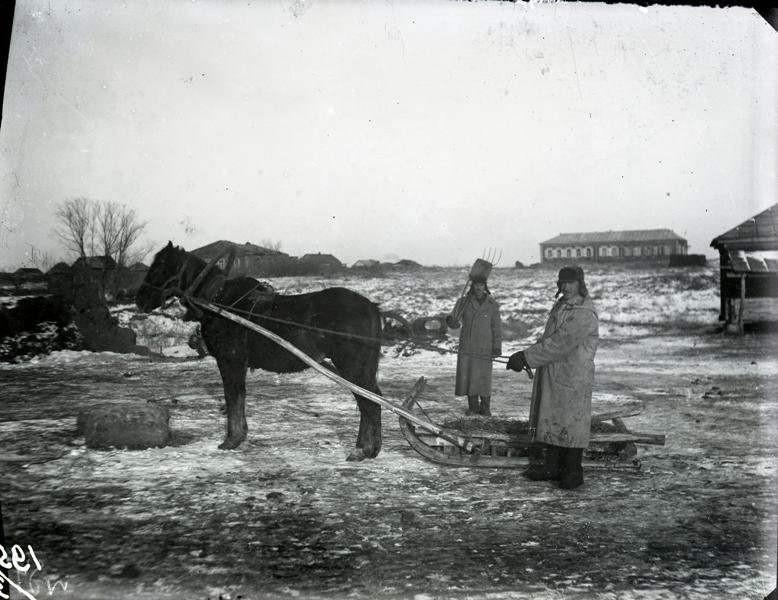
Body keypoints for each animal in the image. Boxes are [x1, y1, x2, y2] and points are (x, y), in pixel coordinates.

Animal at [139, 241, 384, 462]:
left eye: (158, 267)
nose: (139, 298)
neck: (218, 302)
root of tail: (372, 307)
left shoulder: (230, 360)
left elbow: (233, 397)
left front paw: (232, 439)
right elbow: (238, 397)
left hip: (352, 366)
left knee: (368, 403)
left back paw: (361, 450)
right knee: (374, 399)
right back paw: (372, 449)